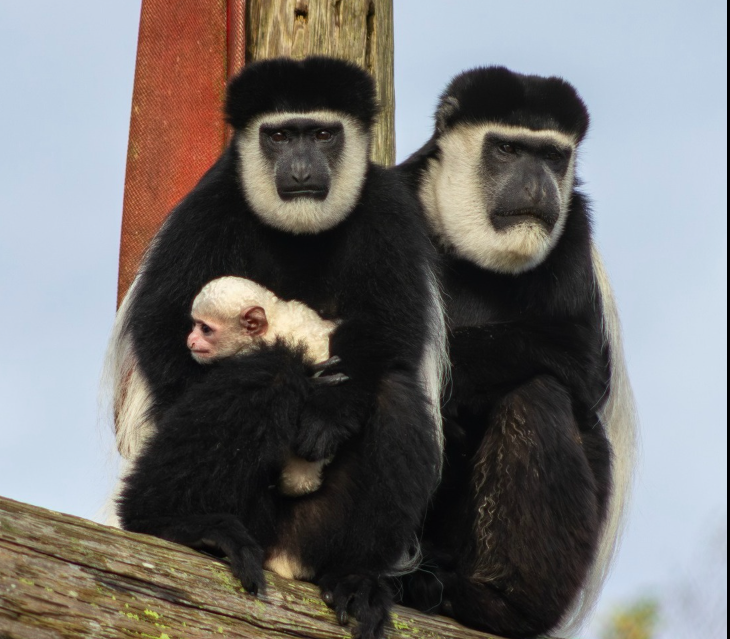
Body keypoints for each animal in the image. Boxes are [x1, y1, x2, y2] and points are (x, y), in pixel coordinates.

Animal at [393, 67, 637, 639]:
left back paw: (494, 603)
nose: (536, 183)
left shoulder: (573, 233)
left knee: (537, 393)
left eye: (551, 155)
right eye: (506, 149)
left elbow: (580, 357)